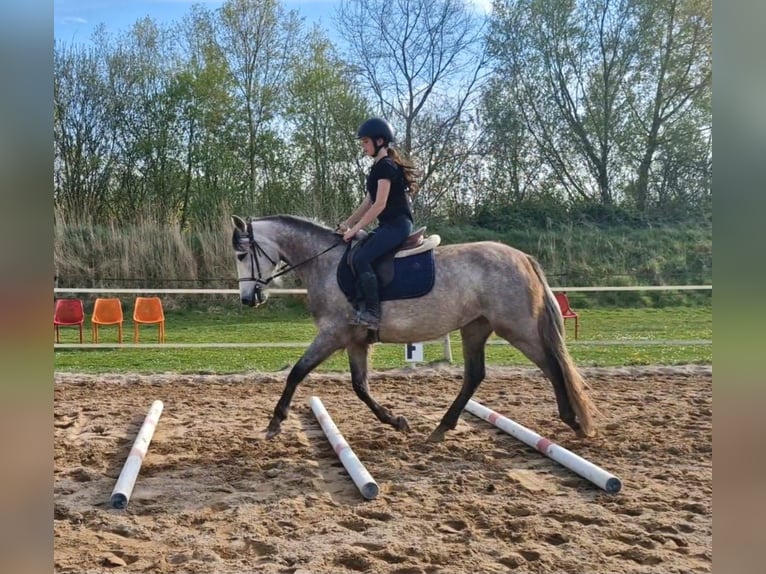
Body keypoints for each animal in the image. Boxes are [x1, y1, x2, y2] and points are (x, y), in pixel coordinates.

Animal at [230, 214, 599, 442]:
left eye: (241, 254)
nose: (248, 299)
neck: (325, 262)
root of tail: (522, 257)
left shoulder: (333, 334)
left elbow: (297, 372)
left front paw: (275, 422)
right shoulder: (354, 341)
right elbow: (360, 387)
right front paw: (396, 421)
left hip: (516, 326)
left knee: (552, 365)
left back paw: (573, 420)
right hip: (476, 327)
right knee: (475, 375)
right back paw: (441, 428)